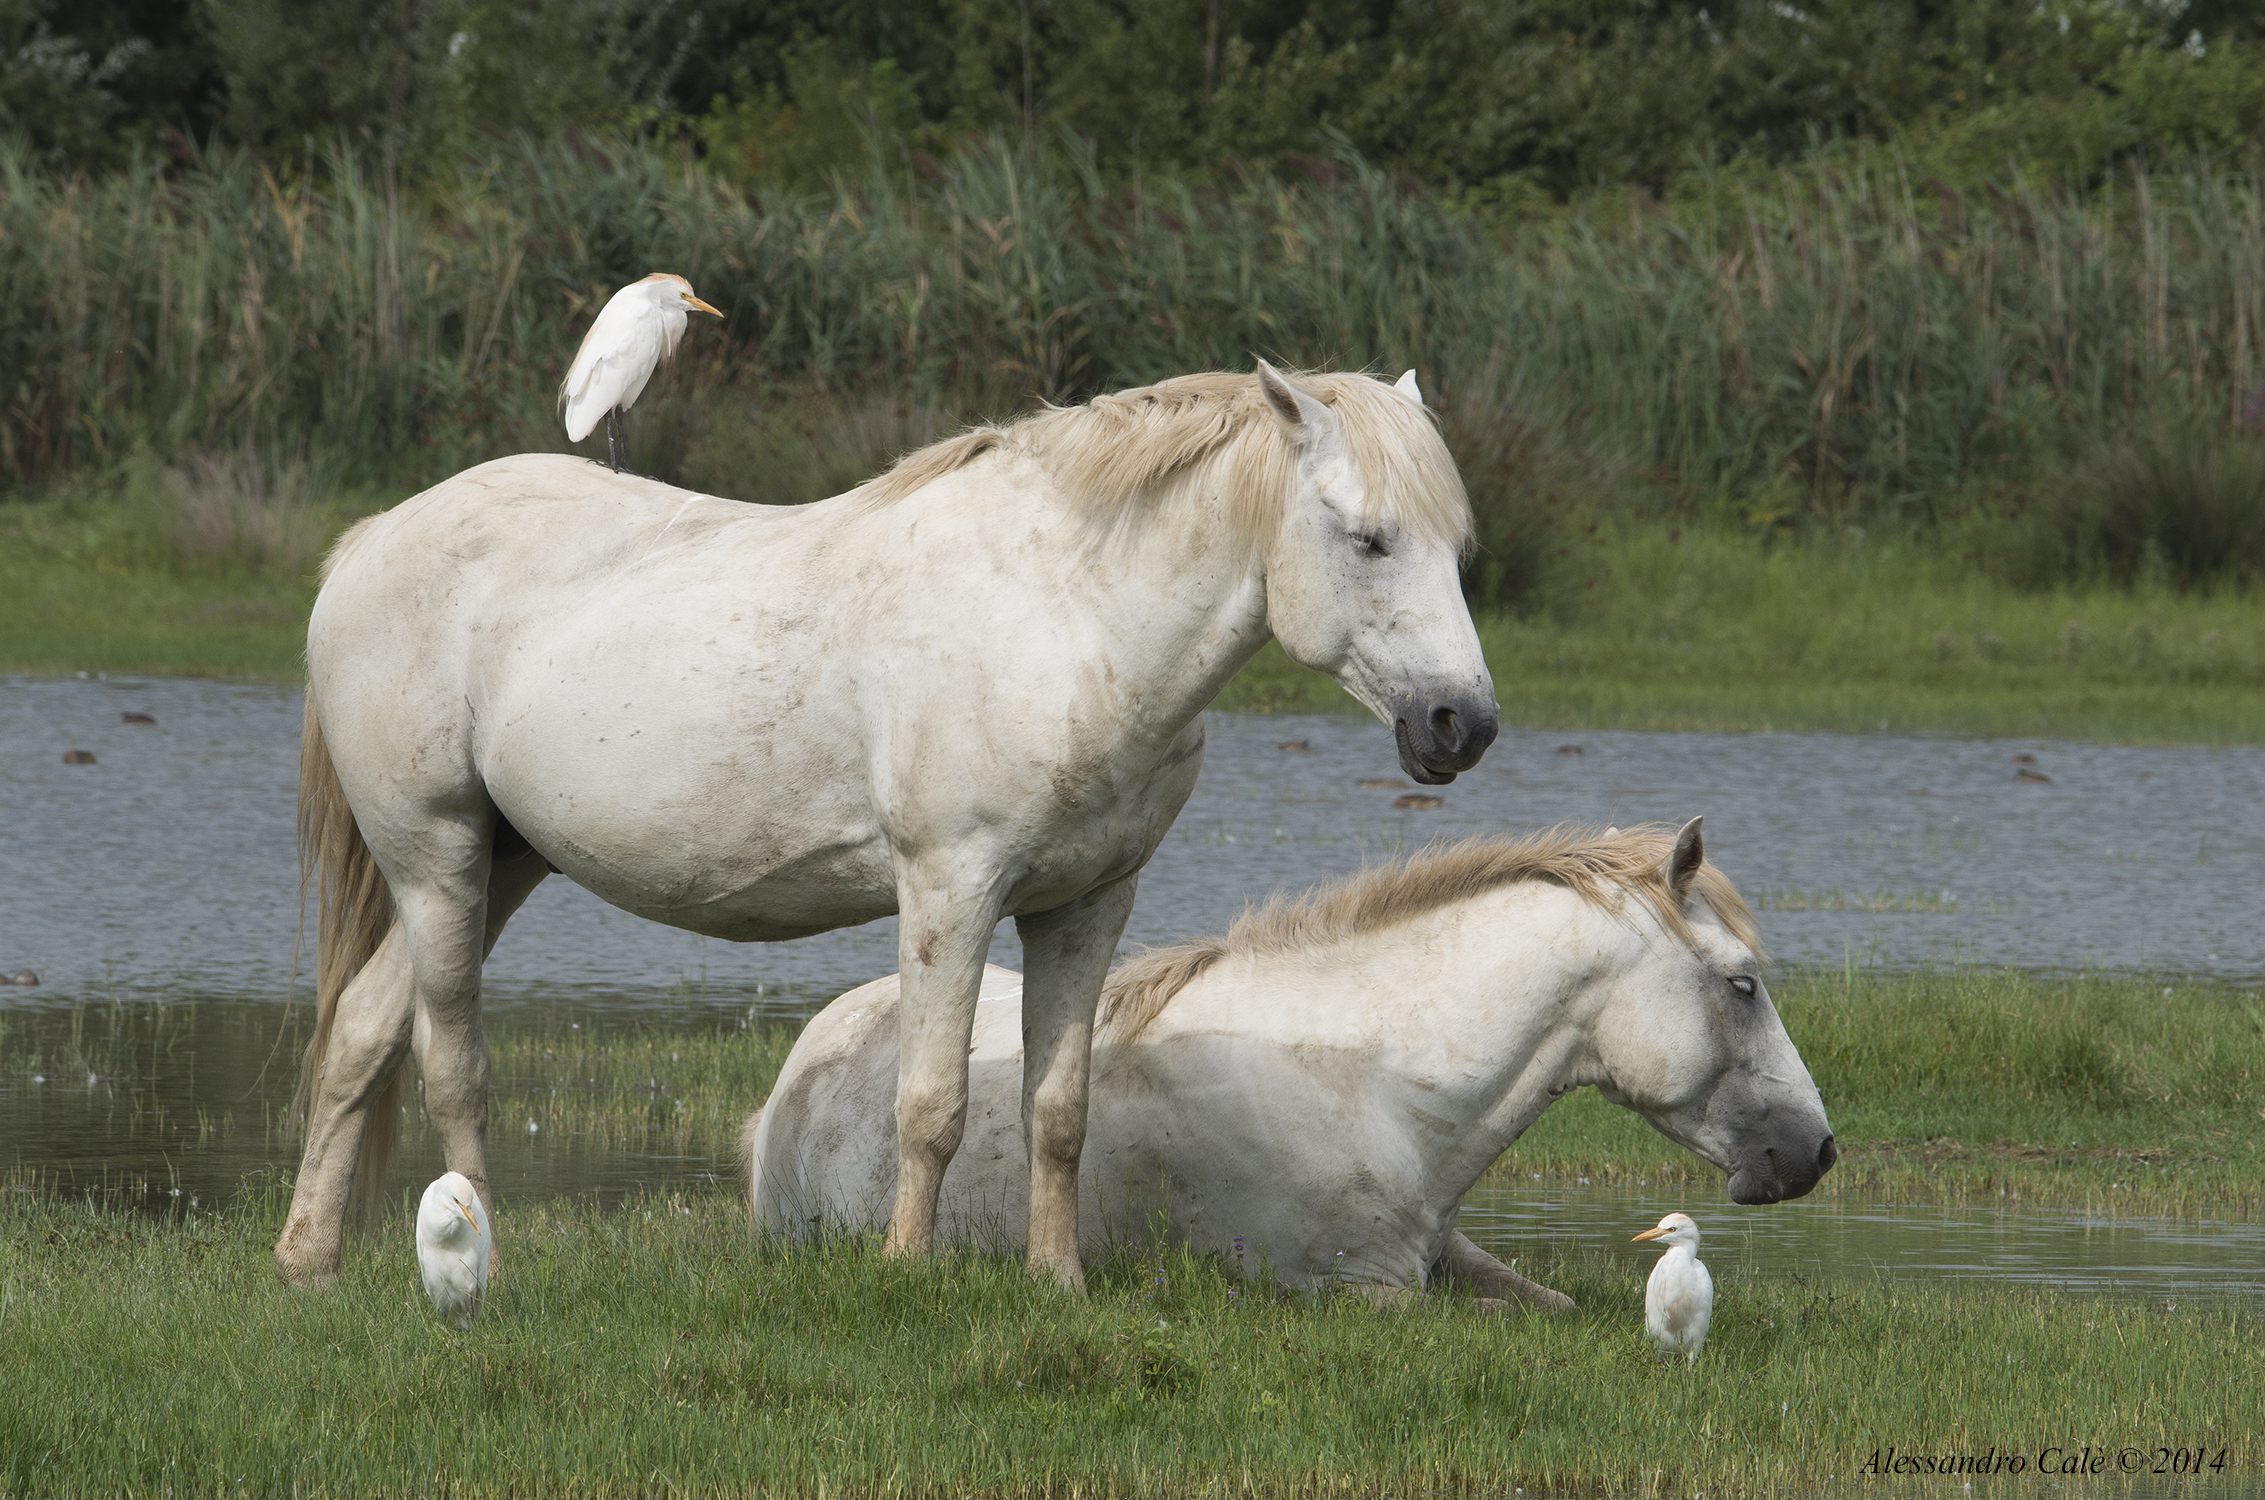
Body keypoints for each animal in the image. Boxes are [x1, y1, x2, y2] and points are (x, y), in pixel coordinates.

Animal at [280, 363, 1497, 1290]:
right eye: (1369, 540)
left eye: (1457, 548)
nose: (1463, 723)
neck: (1068, 620)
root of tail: (373, 539)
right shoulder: (951, 888)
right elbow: (932, 1103)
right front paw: (906, 1268)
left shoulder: (1085, 906)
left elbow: (1059, 1107)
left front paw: (1057, 1281)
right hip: (436, 856)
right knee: (452, 1063)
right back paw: (482, 1256)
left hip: (497, 864)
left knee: (361, 1035)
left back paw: (308, 1262)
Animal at [743, 820, 1837, 1307]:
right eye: (1743, 984)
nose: (1818, 1151)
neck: (1370, 1088)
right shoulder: (1361, 1295)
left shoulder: (1444, 1254)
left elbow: (1553, 1306)